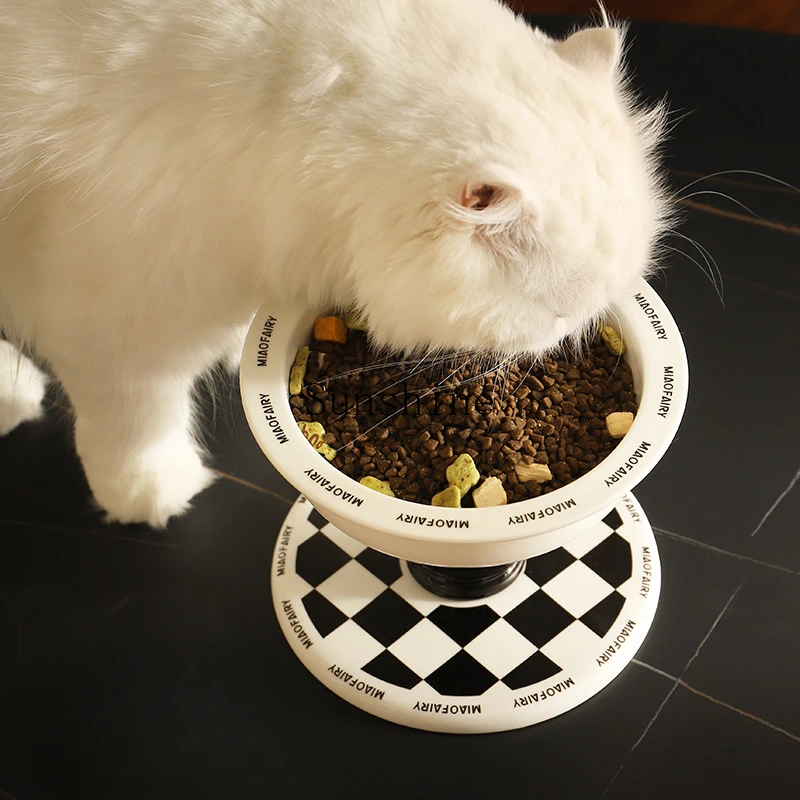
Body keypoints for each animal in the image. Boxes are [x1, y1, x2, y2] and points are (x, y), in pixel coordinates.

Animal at [0, 0, 668, 528]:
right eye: (556, 318)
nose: (559, 345)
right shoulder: (118, 312)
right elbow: (139, 421)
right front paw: (153, 496)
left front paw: (234, 346)